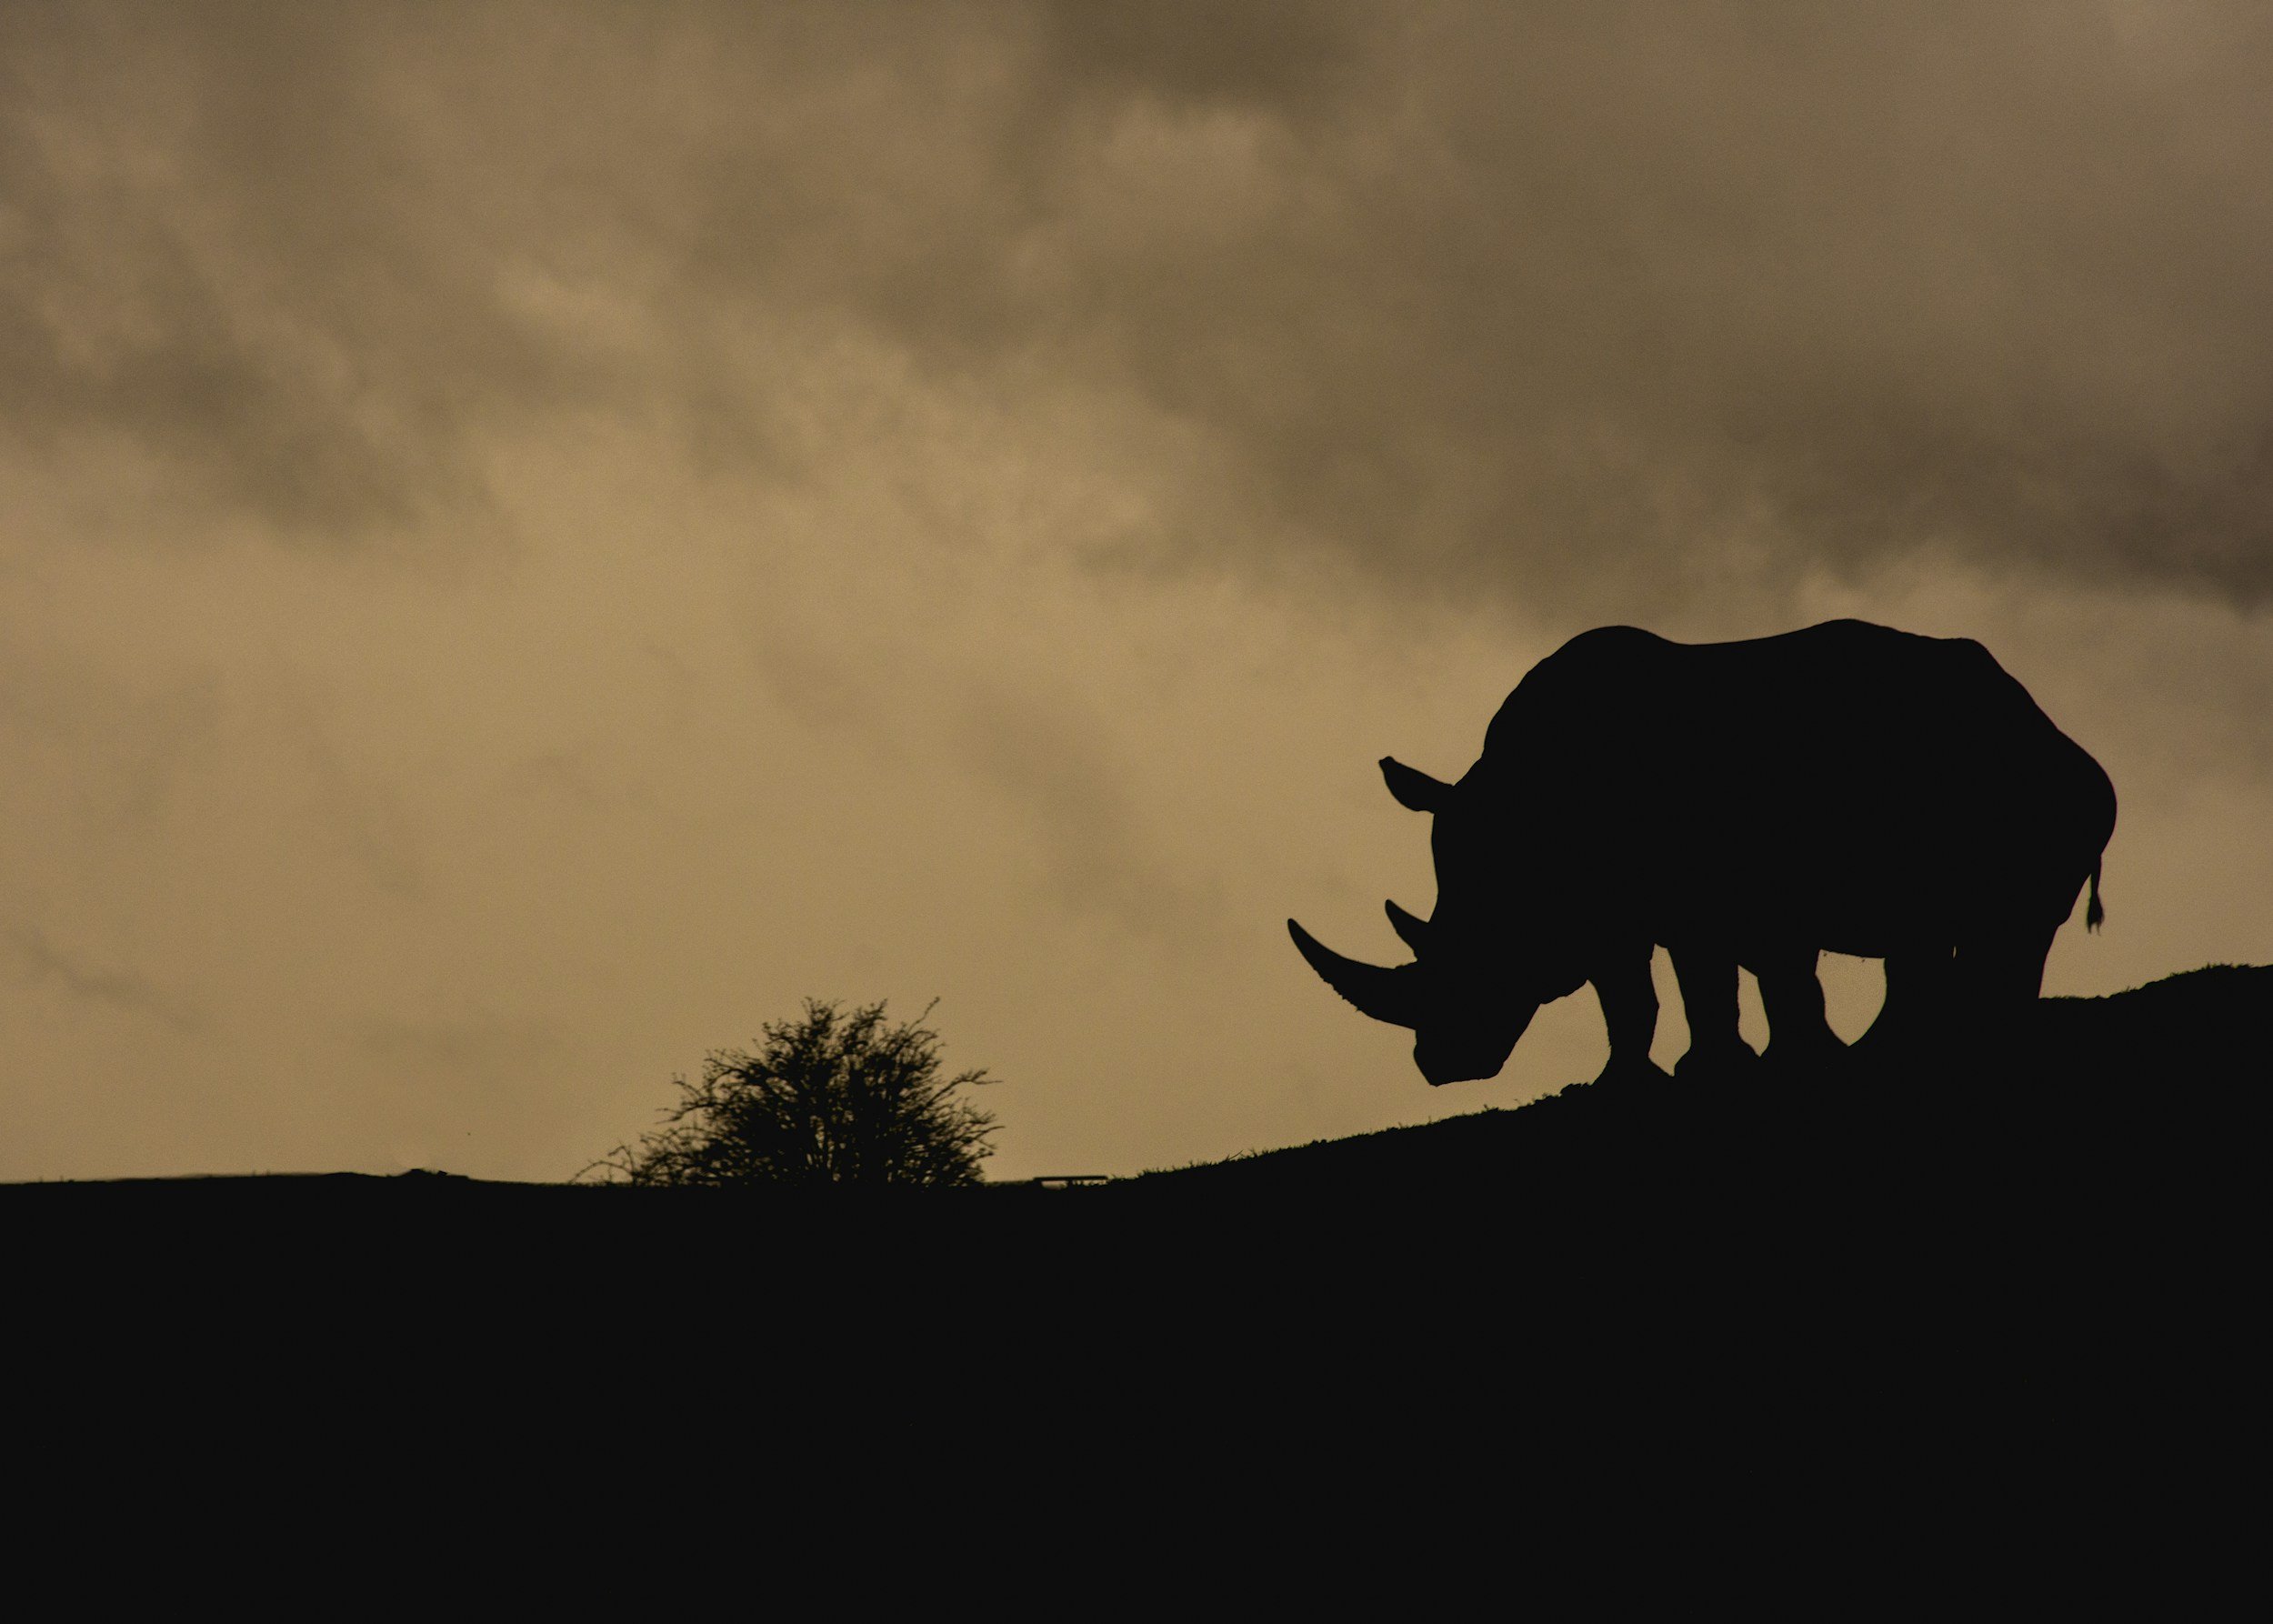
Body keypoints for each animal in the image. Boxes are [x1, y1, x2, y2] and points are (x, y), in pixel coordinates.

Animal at [1288, 620, 2117, 1087]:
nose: (1441, 1067)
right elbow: (1648, 989)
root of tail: (2052, 727)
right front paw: (1638, 1080)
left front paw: (1710, 1072)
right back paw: (1895, 1050)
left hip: (2024, 782)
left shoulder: (1682, 891)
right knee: (1933, 933)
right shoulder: (1637, 903)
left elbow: (1684, 981)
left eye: (1481, 952)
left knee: (1996, 929)